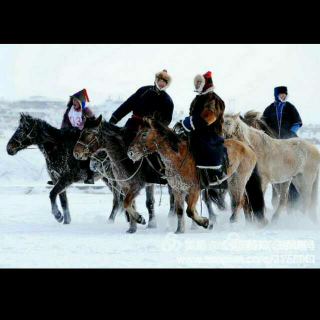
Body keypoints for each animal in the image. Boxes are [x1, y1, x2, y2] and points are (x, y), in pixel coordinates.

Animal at [127, 117, 268, 232]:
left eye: (144, 134)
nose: (130, 152)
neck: (178, 157)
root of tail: (249, 148)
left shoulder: (194, 189)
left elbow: (189, 211)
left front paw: (206, 223)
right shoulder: (178, 190)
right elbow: (180, 211)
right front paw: (179, 230)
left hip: (237, 181)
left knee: (239, 201)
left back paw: (232, 222)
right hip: (232, 182)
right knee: (243, 202)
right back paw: (246, 223)